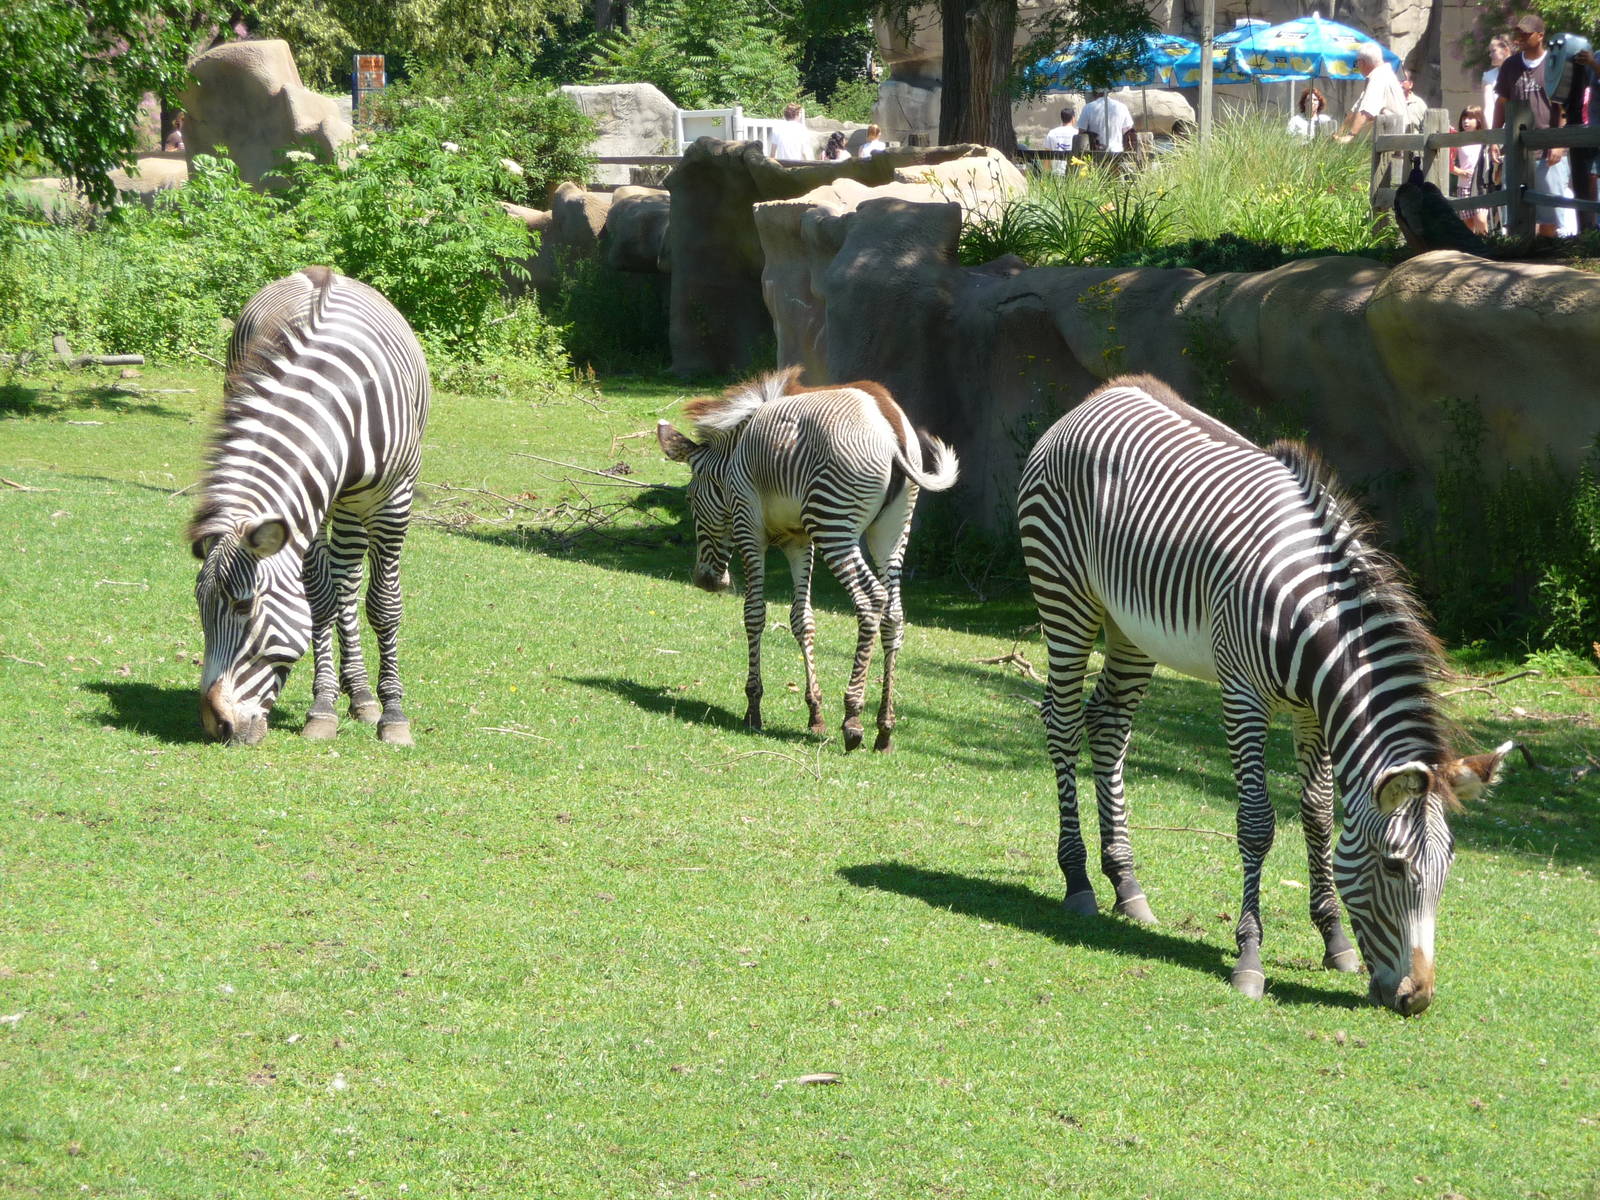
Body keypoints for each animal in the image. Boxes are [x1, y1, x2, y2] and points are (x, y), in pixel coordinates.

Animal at [188, 266, 430, 747]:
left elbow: (384, 605)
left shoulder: (394, 501)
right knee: (343, 587)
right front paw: (323, 707)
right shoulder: (307, 510)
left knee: (353, 583)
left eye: (244, 606)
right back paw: (355, 693)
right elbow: (321, 600)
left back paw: (366, 698)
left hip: (358, 506)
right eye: (200, 606)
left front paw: (394, 713)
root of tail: (318, 271)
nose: (215, 725)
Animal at [657, 367, 959, 751]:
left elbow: (754, 613)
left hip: (834, 522)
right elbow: (803, 619)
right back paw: (884, 729)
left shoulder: (747, 525)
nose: (705, 582)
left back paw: (853, 718)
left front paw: (753, 709)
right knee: (894, 612)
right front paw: (815, 714)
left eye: (690, 500)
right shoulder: (798, 539)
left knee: (870, 600)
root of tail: (890, 425)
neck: (732, 462)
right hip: (892, 530)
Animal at [1017, 375, 1511, 1014]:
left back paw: (1126, 884)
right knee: (1061, 720)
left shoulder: (1314, 714)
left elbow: (1319, 816)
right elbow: (1257, 822)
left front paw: (1335, 942)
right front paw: (1249, 958)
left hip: (1133, 627)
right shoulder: (1243, 697)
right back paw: (1078, 881)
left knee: (1108, 725)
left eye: (1447, 869)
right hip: (1065, 596)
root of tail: (1103, 394)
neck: (1314, 618)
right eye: (1395, 867)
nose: (1416, 999)